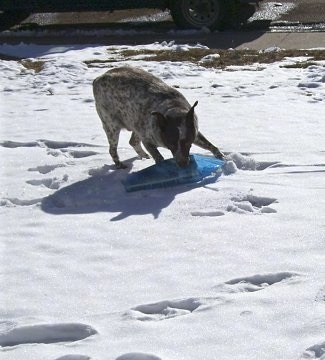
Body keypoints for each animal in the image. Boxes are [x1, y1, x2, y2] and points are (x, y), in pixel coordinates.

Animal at [91, 66, 223, 169]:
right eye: (171, 145)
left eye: (186, 143)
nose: (183, 164)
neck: (173, 108)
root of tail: (97, 79)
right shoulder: (148, 140)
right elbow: (159, 157)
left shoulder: (195, 134)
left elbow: (211, 146)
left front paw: (222, 158)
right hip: (112, 126)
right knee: (113, 149)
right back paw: (119, 164)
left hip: (134, 122)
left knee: (133, 141)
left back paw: (144, 156)